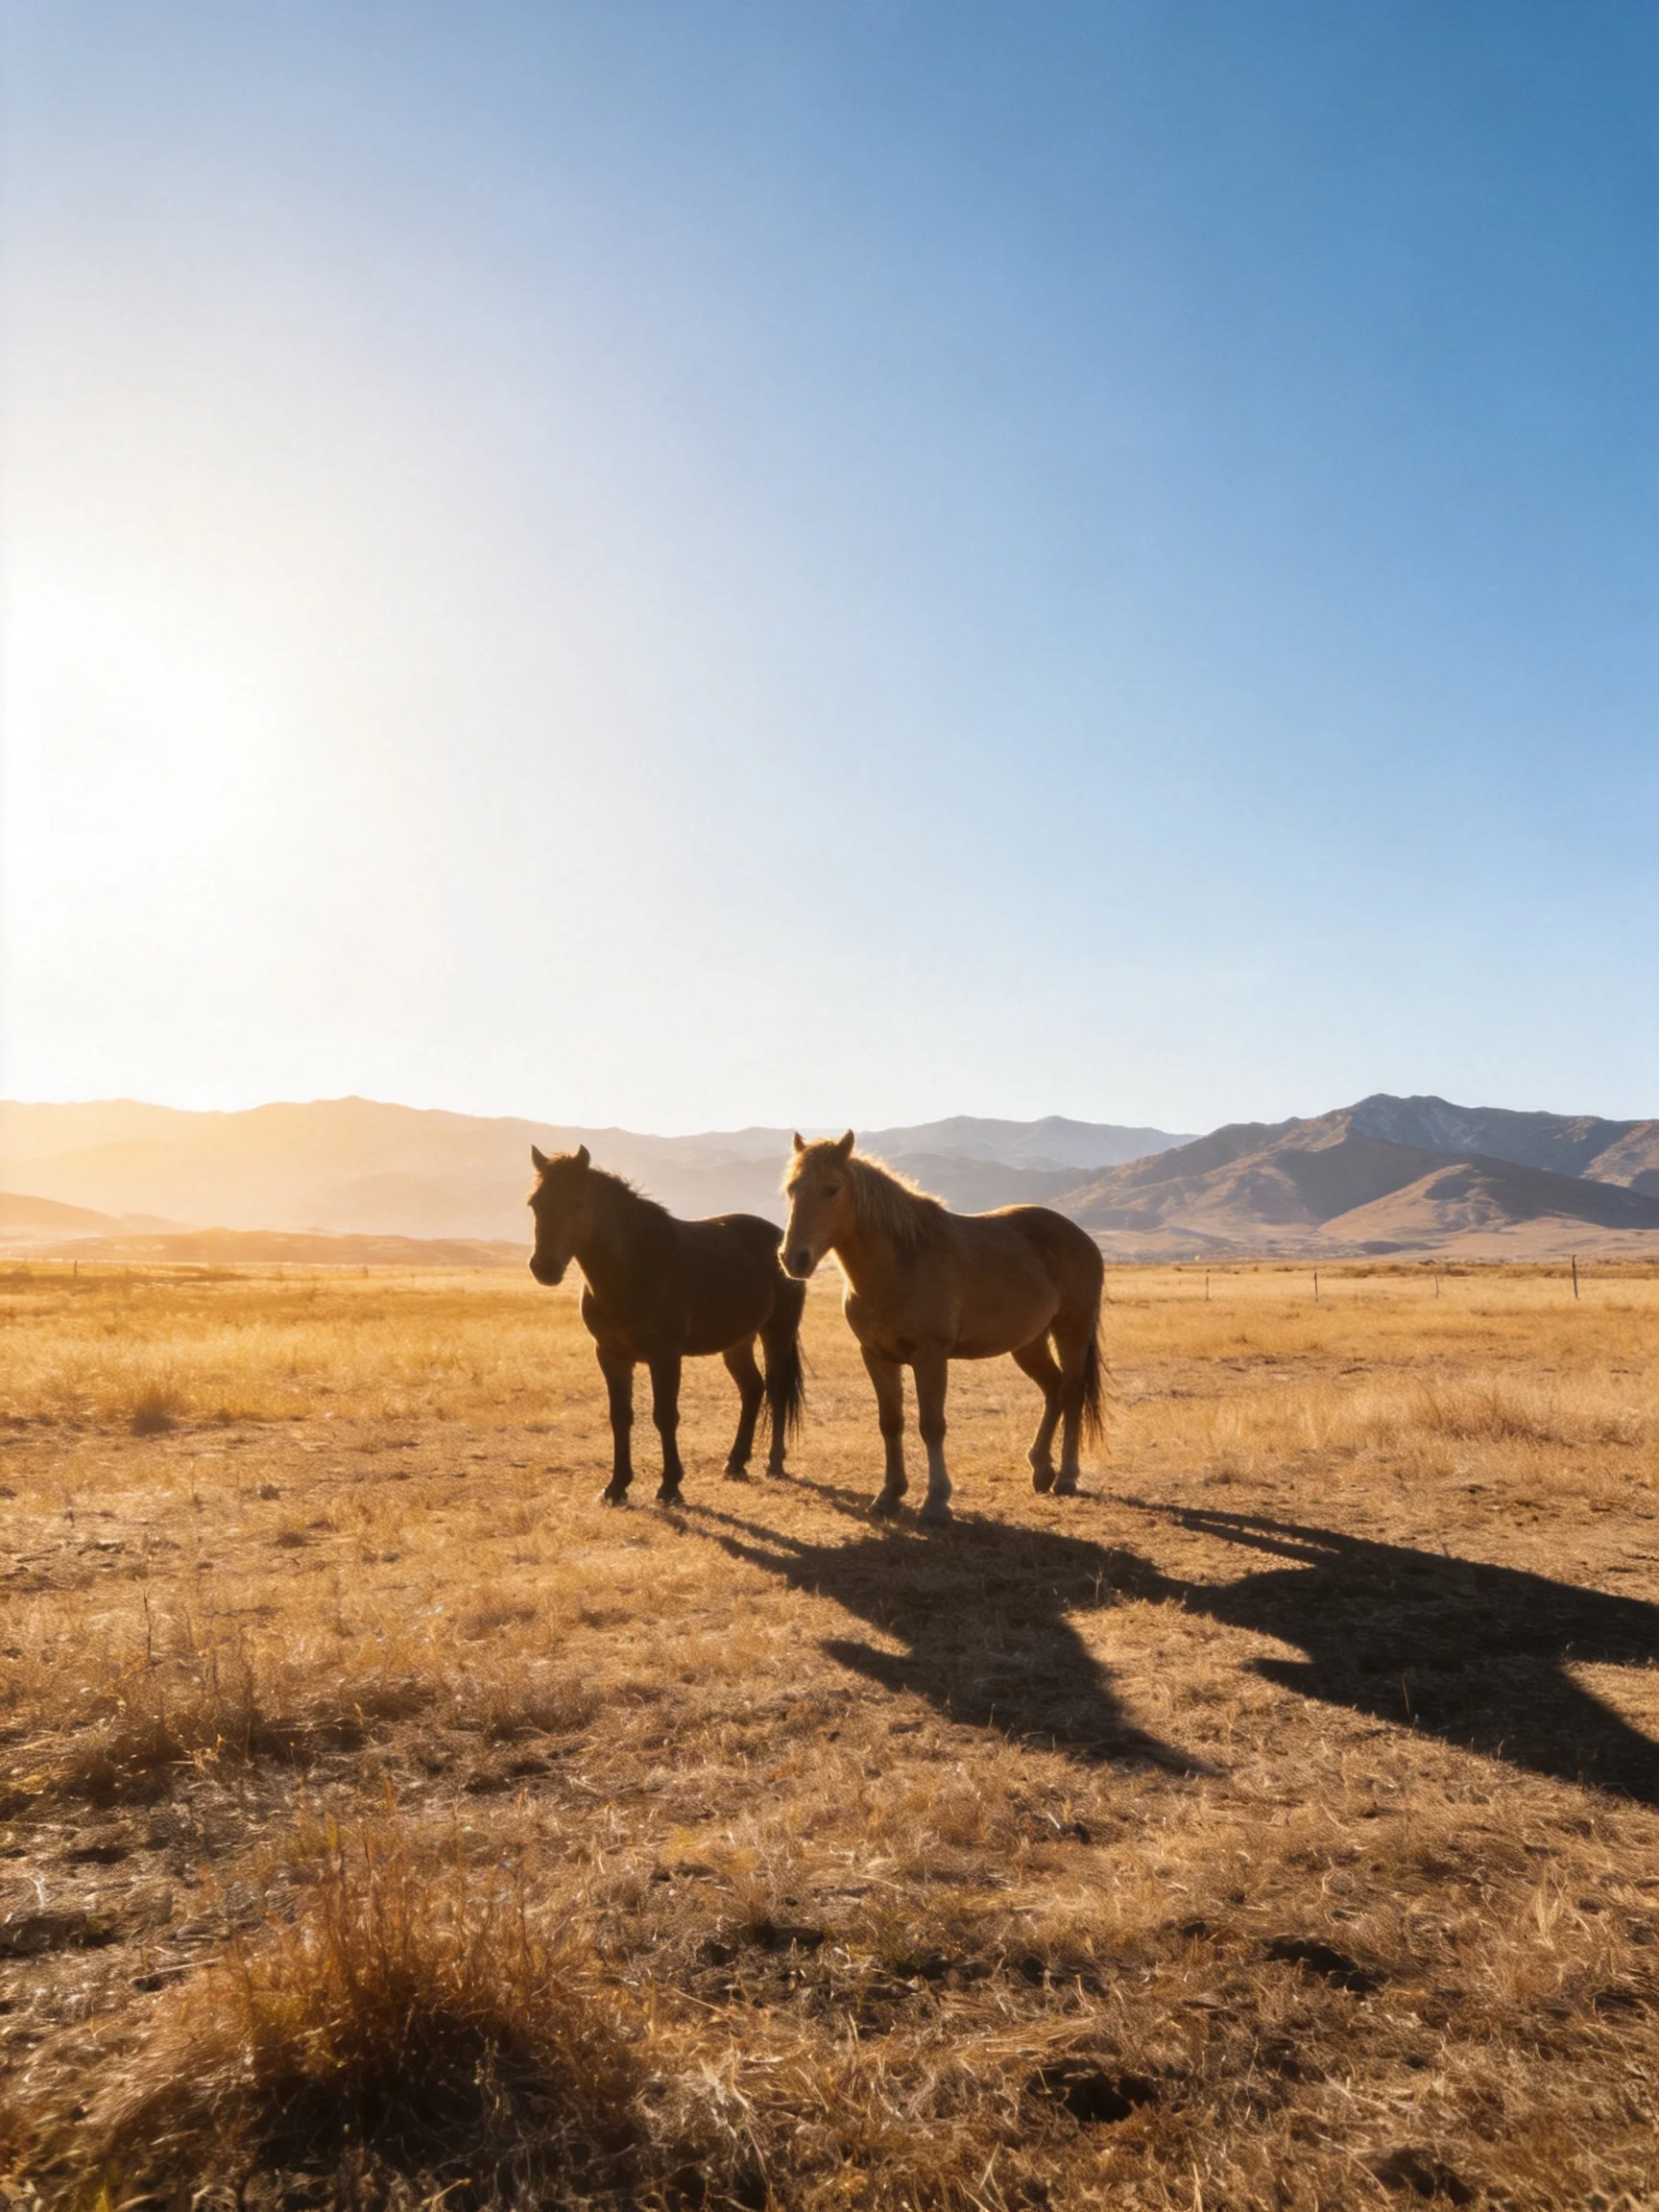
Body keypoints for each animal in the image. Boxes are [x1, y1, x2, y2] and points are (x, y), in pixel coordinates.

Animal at [528, 1145, 806, 1506]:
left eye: (578, 1202)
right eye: (535, 1203)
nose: (544, 1268)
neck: (634, 1267)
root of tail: (783, 1245)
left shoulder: (665, 1356)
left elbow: (665, 1416)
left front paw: (670, 1486)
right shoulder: (611, 1355)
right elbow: (621, 1417)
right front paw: (616, 1486)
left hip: (777, 1334)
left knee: (776, 1390)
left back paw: (774, 1462)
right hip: (738, 1342)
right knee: (753, 1389)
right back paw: (735, 1463)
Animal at [780, 1132, 1105, 1525]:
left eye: (832, 1189)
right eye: (792, 1189)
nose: (793, 1258)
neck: (900, 1263)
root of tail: (1081, 1238)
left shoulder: (931, 1357)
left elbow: (932, 1425)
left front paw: (936, 1501)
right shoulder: (876, 1357)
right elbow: (891, 1422)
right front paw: (889, 1495)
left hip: (1072, 1332)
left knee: (1071, 1394)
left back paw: (1067, 1477)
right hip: (1029, 1344)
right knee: (1054, 1390)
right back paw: (1042, 1469)